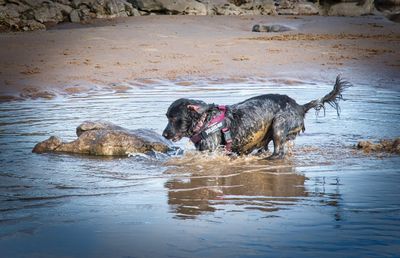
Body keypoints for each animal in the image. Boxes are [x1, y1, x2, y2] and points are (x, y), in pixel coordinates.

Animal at [162, 75, 350, 159]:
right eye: (167, 117)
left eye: (174, 119)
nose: (164, 134)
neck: (204, 121)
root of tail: (300, 107)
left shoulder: (212, 150)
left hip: (279, 125)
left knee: (279, 152)